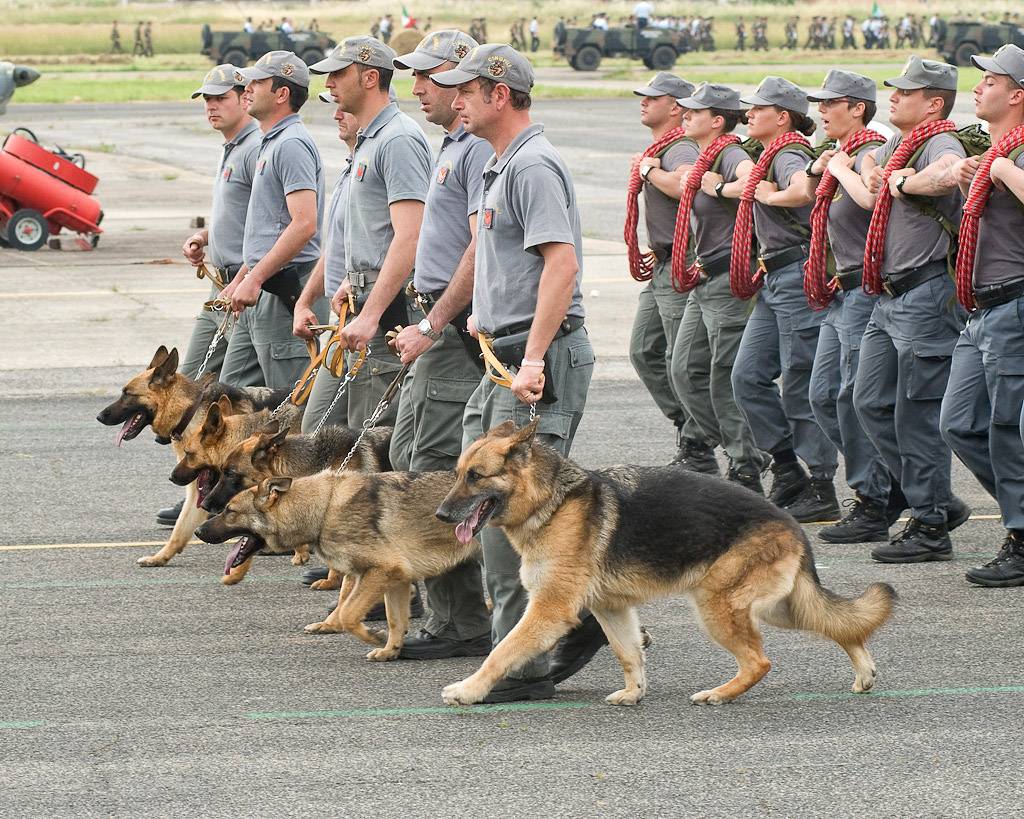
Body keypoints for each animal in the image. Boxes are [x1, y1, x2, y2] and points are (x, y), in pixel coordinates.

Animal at [96, 346, 288, 569]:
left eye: (127, 394)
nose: (99, 416)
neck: (189, 411)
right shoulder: (199, 490)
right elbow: (179, 531)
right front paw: (160, 558)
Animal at [194, 470, 475, 655]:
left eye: (230, 511)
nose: (197, 531)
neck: (323, 509)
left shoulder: (382, 572)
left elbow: (349, 614)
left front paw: (373, 636)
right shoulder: (395, 578)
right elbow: (392, 619)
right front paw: (389, 650)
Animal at [434, 419, 897, 708]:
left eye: (476, 476)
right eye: (457, 473)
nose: (440, 514)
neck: (552, 502)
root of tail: (791, 525)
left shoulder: (549, 609)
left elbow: (504, 650)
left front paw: (469, 690)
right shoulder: (611, 608)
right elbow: (628, 653)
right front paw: (634, 693)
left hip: (718, 605)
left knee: (760, 661)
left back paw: (720, 694)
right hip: (781, 607)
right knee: (840, 626)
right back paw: (864, 672)